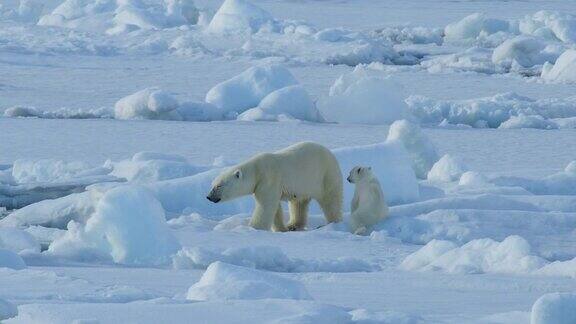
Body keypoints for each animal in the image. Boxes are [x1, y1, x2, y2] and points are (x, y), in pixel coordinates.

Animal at [207, 142, 342, 230]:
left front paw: (253, 228)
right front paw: (280, 228)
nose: (208, 197)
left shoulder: (268, 179)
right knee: (298, 203)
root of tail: (330, 153)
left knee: (331, 200)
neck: (257, 170)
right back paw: (292, 225)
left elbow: (265, 206)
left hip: (325, 175)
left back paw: (332, 223)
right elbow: (275, 208)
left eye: (219, 186)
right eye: (212, 184)